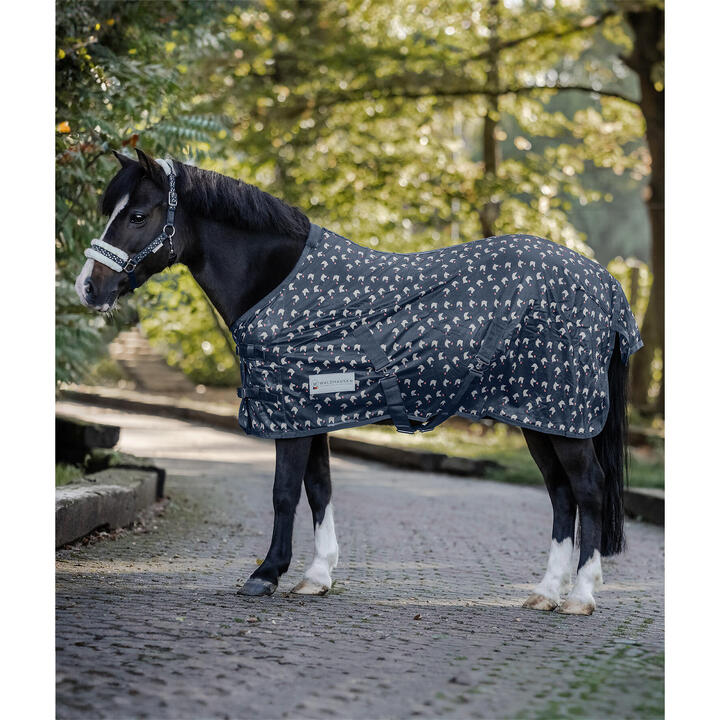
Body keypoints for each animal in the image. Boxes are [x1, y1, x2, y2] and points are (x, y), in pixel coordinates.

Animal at [74, 149, 642, 616]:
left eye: (138, 215)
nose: (88, 287)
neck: (277, 281)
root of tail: (604, 283)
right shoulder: (309, 412)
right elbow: (319, 488)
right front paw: (316, 576)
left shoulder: (290, 414)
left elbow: (285, 492)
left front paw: (266, 574)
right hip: (538, 418)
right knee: (562, 495)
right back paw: (545, 592)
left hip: (563, 418)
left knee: (588, 490)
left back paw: (581, 597)